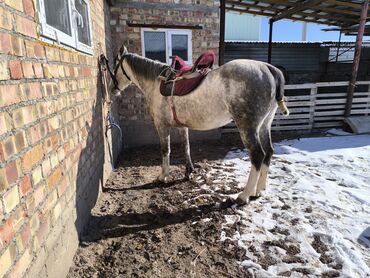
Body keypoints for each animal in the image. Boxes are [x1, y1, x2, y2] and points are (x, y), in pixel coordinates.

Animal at [109, 46, 290, 205]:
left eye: (115, 66)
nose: (112, 89)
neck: (155, 83)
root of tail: (268, 68)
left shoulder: (161, 125)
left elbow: (165, 151)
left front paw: (163, 176)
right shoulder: (182, 126)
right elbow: (186, 147)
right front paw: (188, 172)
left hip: (248, 127)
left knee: (258, 155)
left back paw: (243, 196)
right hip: (264, 125)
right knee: (268, 152)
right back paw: (258, 190)